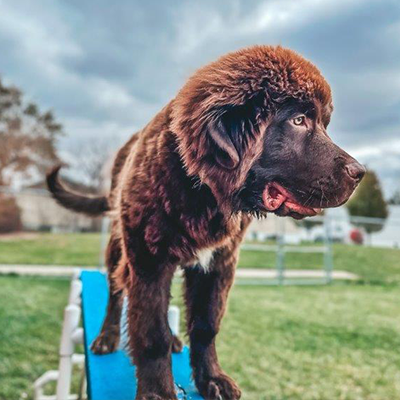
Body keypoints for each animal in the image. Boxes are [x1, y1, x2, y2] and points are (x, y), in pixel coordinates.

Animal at [47, 45, 366, 398]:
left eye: (323, 123)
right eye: (299, 120)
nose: (360, 172)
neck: (204, 194)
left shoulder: (218, 263)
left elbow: (205, 325)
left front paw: (211, 378)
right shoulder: (148, 259)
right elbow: (151, 331)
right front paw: (158, 391)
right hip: (119, 243)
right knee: (117, 289)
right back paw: (107, 336)